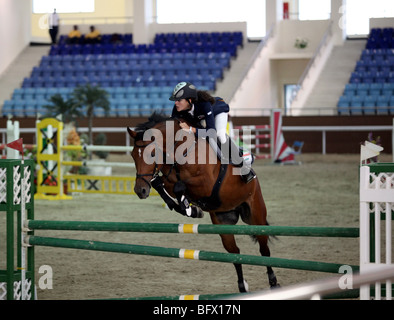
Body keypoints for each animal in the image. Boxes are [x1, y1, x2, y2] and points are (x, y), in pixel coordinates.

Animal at [127, 113, 278, 292]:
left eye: (151, 154)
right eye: (133, 155)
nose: (140, 190)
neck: (180, 150)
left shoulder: (206, 184)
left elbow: (179, 186)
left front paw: (189, 208)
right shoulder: (169, 179)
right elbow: (163, 184)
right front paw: (187, 208)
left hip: (256, 215)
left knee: (264, 249)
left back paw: (273, 282)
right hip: (223, 222)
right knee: (235, 252)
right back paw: (242, 286)